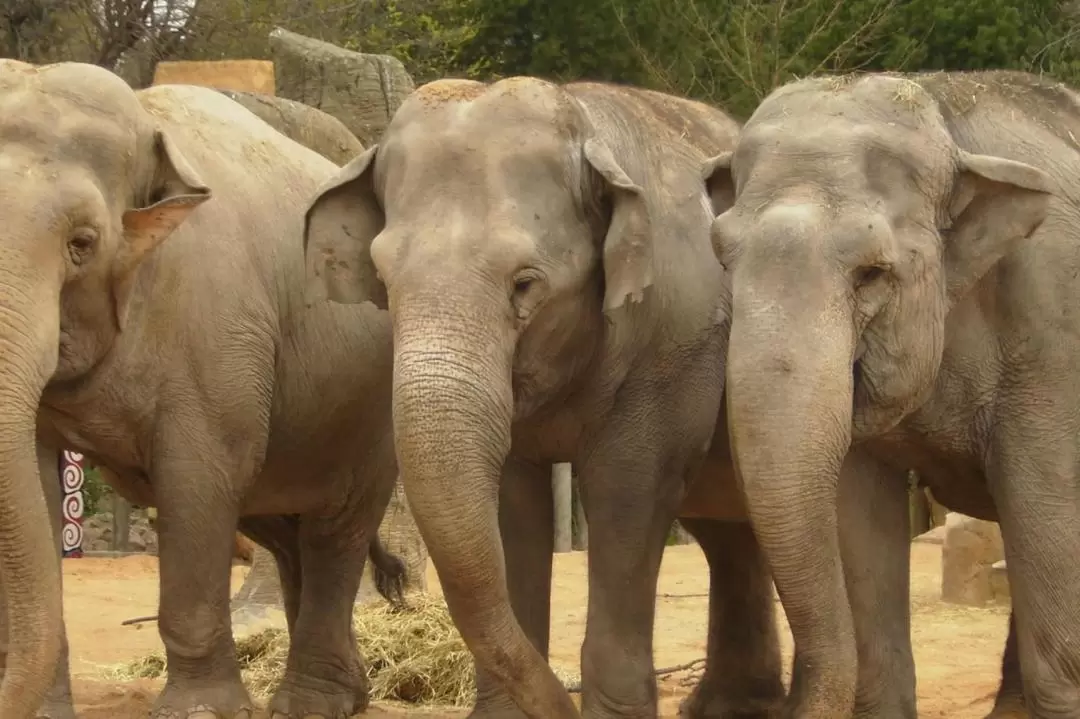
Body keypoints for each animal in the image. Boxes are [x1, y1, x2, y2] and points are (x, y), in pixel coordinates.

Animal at [0, 61, 406, 716]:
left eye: (81, 244)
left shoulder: (217, 335)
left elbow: (197, 477)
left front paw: (200, 710)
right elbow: (34, 484)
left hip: (374, 410)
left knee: (335, 529)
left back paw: (310, 704)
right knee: (282, 529)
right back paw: (350, 694)